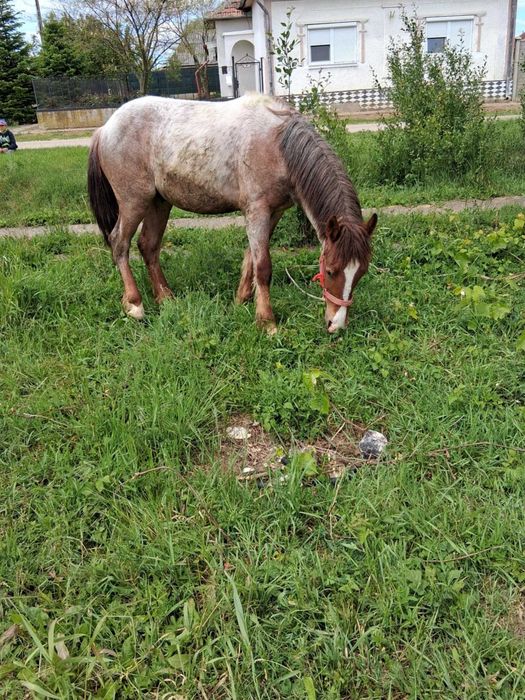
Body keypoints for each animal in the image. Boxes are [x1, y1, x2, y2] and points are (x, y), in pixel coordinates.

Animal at [87, 94, 377, 333]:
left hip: (159, 202)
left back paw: (165, 298)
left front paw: (242, 300)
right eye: (330, 271)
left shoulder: (273, 212)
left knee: (148, 245)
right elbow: (263, 266)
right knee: (119, 243)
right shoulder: (257, 211)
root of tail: (105, 128)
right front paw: (267, 322)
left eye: (360, 272)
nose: (336, 325)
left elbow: (251, 256)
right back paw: (135, 305)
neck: (278, 144)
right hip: (134, 201)